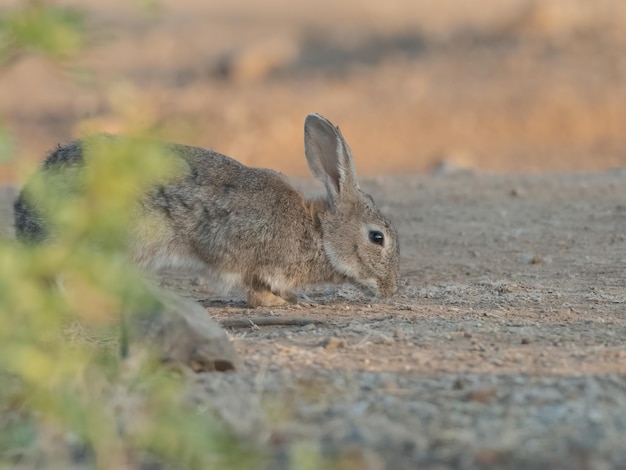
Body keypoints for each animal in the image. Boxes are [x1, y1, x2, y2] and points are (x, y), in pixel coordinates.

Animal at [14, 112, 400, 306]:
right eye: (376, 237)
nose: (390, 290)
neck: (318, 232)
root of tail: (25, 217)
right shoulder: (255, 259)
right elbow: (259, 291)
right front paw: (291, 302)